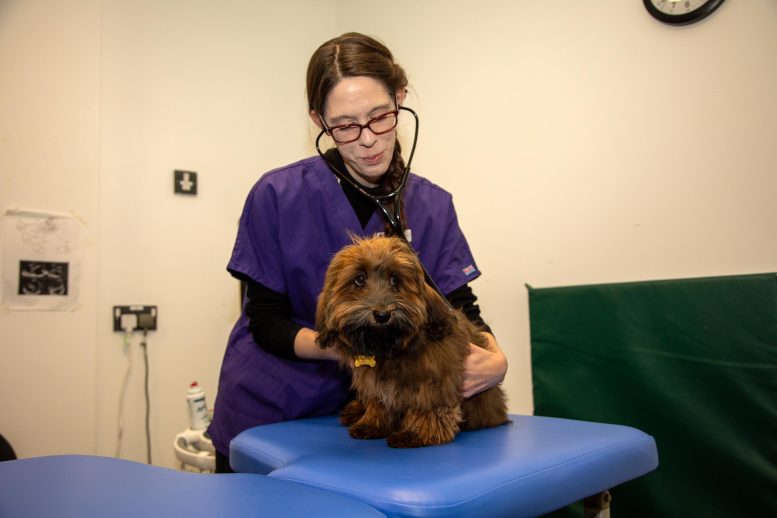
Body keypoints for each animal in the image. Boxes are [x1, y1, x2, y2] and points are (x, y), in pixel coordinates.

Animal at [316, 238, 510, 448]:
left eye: (395, 279)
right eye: (359, 279)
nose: (382, 314)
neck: (390, 346)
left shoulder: (433, 380)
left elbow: (427, 406)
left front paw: (418, 433)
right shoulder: (374, 383)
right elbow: (378, 403)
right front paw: (372, 423)